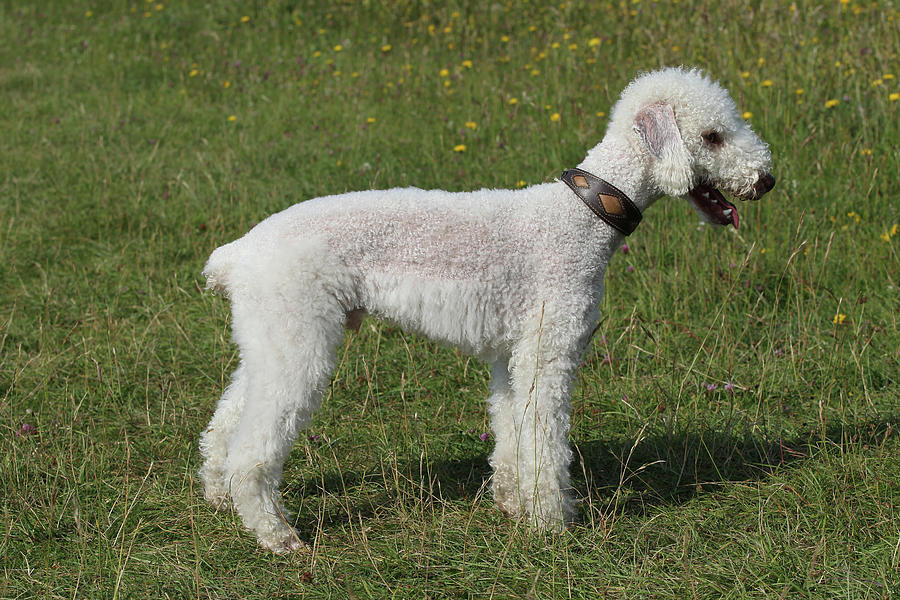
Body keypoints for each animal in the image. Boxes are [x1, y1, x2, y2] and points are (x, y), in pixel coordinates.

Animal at [199, 67, 772, 552]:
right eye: (713, 136)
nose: (766, 180)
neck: (585, 214)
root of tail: (237, 254)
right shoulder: (548, 350)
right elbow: (545, 439)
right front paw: (552, 525)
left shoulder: (510, 355)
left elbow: (511, 434)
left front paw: (513, 506)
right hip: (300, 341)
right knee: (254, 446)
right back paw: (276, 535)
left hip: (272, 338)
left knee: (226, 423)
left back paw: (219, 497)